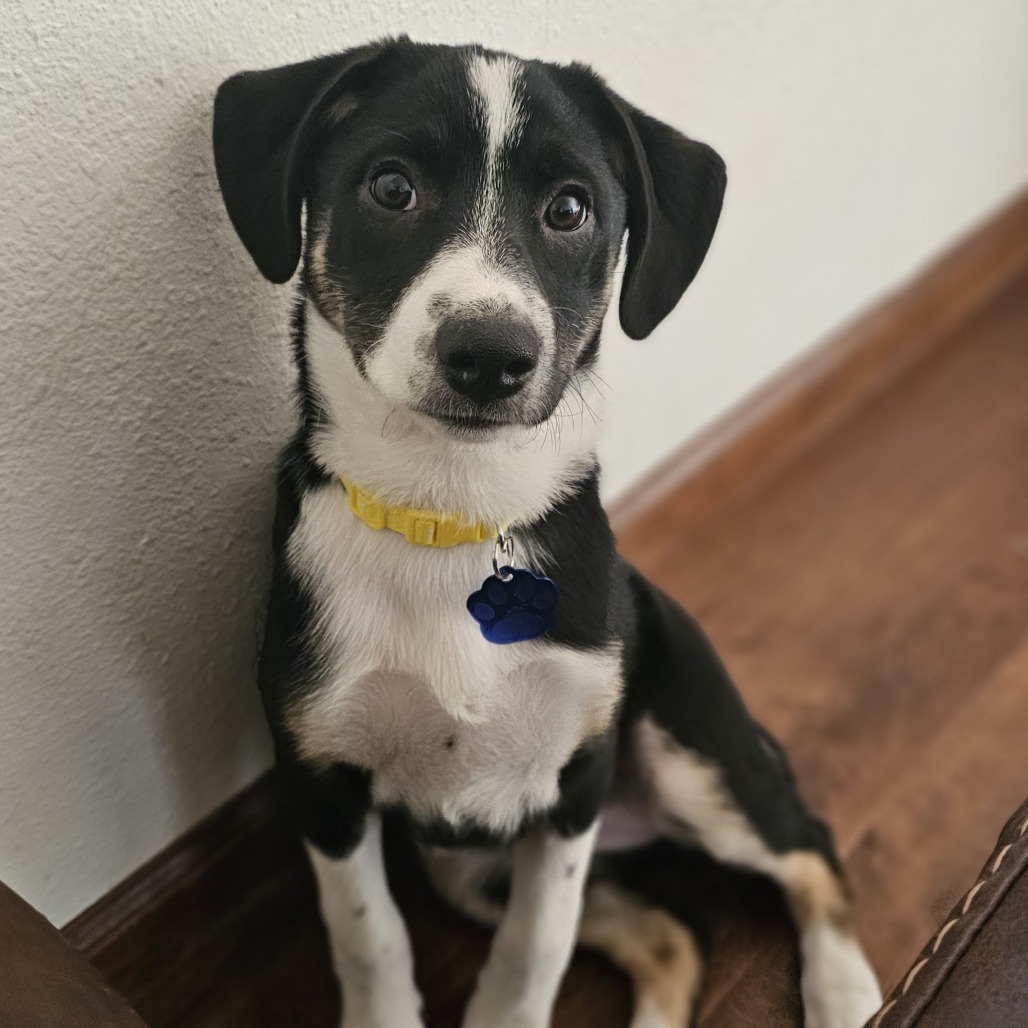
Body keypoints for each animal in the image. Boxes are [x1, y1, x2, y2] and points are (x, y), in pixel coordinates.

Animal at [210, 36, 884, 1023]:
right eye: (391, 187)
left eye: (571, 209)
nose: (490, 357)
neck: (450, 514)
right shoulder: (323, 781)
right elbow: (368, 936)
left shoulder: (574, 782)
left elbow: (538, 945)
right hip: (465, 865)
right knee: (669, 937)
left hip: (690, 755)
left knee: (809, 844)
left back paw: (845, 990)